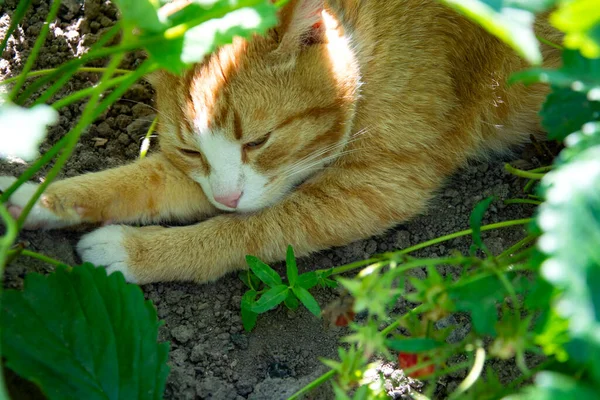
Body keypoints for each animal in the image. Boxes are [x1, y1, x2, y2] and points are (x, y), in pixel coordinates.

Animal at [0, 0, 564, 284]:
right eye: (190, 151)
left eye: (259, 141)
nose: (226, 198)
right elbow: (132, 183)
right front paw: (34, 197)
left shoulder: (376, 186)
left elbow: (248, 231)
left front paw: (134, 252)